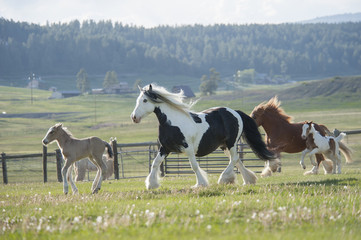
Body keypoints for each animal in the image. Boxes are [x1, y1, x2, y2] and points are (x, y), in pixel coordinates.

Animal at [131, 84, 274, 189]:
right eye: (138, 100)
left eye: (145, 100)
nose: (134, 117)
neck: (172, 123)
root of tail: (235, 112)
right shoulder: (164, 148)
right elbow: (155, 164)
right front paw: (151, 185)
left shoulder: (188, 148)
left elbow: (194, 166)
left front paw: (200, 184)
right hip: (224, 146)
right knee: (237, 160)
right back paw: (247, 180)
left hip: (232, 143)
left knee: (234, 159)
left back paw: (223, 179)